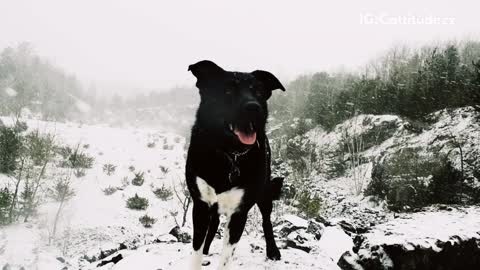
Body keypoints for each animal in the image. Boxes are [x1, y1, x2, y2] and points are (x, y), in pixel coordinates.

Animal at [186, 60, 284, 268]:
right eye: (228, 91)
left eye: (259, 92)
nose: (254, 108)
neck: (230, 154)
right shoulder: (200, 205)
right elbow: (197, 249)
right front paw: (201, 255)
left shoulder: (239, 211)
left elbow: (225, 258)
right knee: (213, 225)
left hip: (264, 191)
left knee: (266, 220)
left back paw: (273, 250)